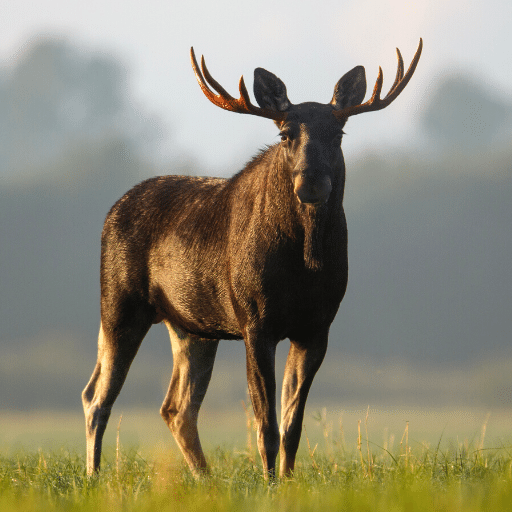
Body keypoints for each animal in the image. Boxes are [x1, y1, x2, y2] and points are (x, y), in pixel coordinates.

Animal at [82, 39, 422, 476]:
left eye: (340, 132)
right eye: (285, 134)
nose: (311, 181)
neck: (305, 265)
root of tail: (112, 211)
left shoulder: (317, 327)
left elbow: (292, 425)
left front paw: (290, 481)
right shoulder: (255, 321)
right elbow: (266, 425)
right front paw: (270, 482)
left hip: (192, 327)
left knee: (175, 407)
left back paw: (204, 477)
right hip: (119, 303)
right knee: (97, 396)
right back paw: (94, 475)